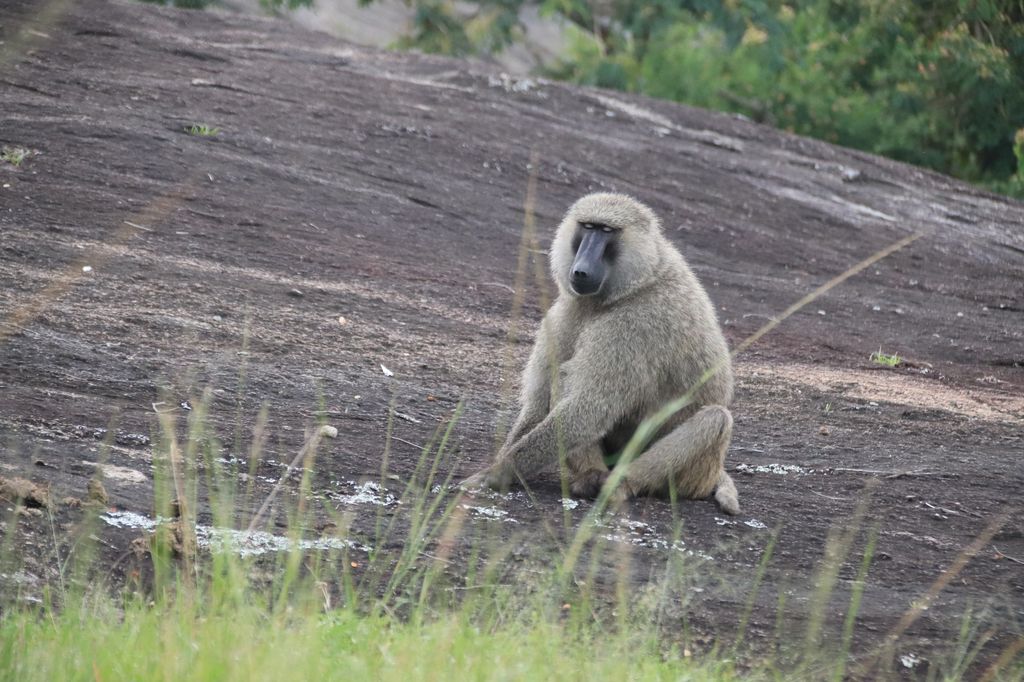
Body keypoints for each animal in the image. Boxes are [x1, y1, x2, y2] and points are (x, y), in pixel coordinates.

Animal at [461, 193, 740, 514]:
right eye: (587, 227)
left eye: (607, 231)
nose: (581, 270)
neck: (643, 276)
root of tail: (714, 473)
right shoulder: (570, 308)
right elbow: (540, 405)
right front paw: (502, 464)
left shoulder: (636, 323)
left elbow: (590, 408)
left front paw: (497, 472)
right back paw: (588, 478)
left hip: (697, 473)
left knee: (715, 419)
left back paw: (618, 486)